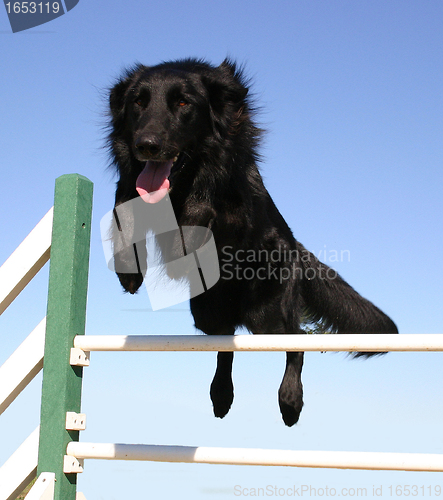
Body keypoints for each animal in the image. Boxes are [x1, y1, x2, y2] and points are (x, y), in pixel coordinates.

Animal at [108, 58, 398, 426]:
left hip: (268, 315)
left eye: (184, 103)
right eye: (138, 103)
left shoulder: (237, 211)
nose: (145, 145)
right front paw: (130, 271)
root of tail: (297, 249)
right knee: (226, 346)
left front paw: (184, 241)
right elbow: (122, 208)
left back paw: (290, 401)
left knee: (298, 342)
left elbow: (204, 205)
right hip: (207, 315)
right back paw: (221, 395)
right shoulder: (129, 185)